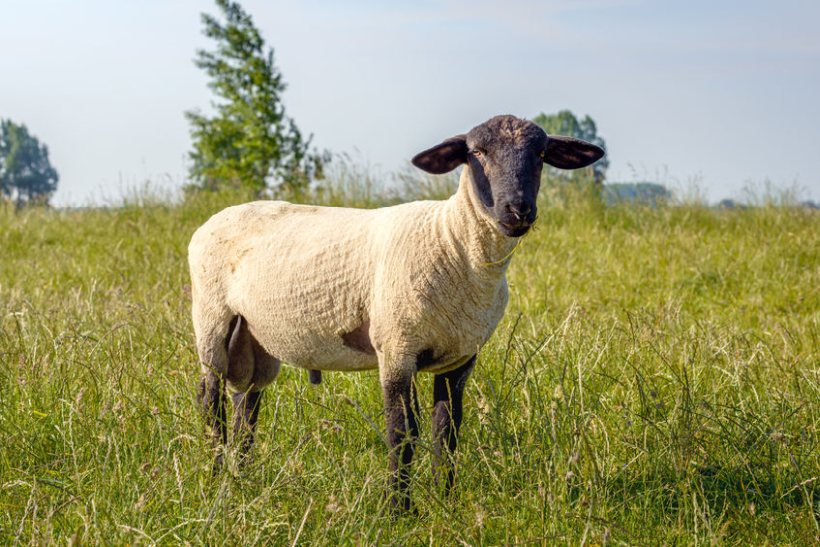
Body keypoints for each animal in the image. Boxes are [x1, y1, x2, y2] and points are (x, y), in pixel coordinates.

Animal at [189, 113, 604, 512]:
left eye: (540, 154)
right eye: (477, 152)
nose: (517, 209)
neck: (452, 242)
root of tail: (216, 218)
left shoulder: (461, 357)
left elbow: (447, 430)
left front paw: (444, 501)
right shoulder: (396, 347)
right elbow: (402, 432)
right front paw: (398, 510)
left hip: (254, 341)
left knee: (246, 403)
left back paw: (242, 477)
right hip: (211, 319)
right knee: (210, 399)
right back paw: (215, 477)